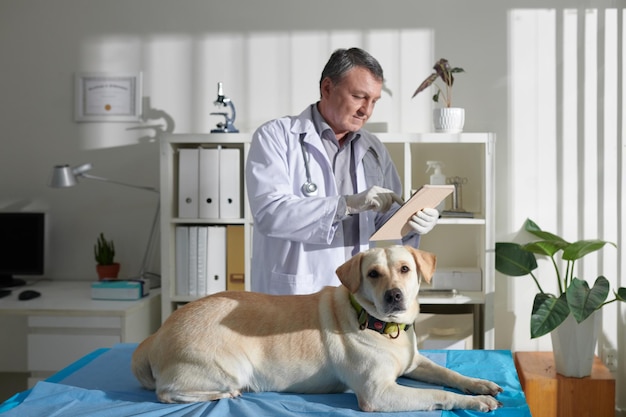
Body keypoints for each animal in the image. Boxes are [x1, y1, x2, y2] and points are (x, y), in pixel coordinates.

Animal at [133, 245, 502, 412]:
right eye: (373, 274)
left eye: (405, 269)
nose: (394, 295)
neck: (383, 328)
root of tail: (154, 337)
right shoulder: (378, 394)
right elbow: (437, 394)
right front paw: (475, 402)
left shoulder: (415, 362)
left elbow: (449, 375)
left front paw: (480, 385)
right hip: (229, 368)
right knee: (167, 392)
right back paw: (223, 394)